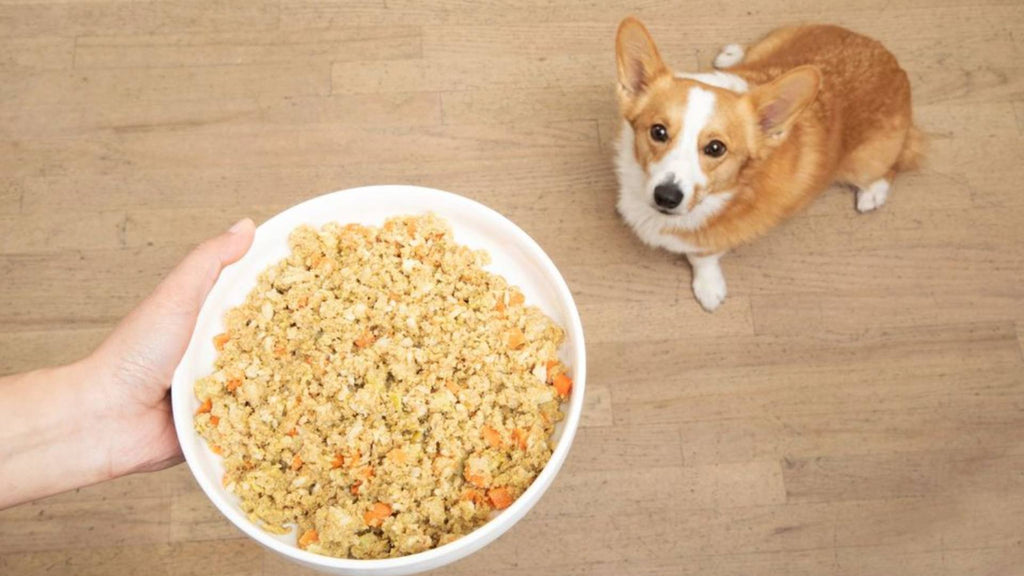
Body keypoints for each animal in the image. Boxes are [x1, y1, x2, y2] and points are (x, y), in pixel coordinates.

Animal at [614, 18, 923, 311]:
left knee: (894, 165)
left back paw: (873, 193)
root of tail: (891, 62)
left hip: (863, 163)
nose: (667, 197)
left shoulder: (716, 239)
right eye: (658, 132)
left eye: (716, 148)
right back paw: (732, 54)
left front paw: (709, 287)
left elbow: (703, 257)